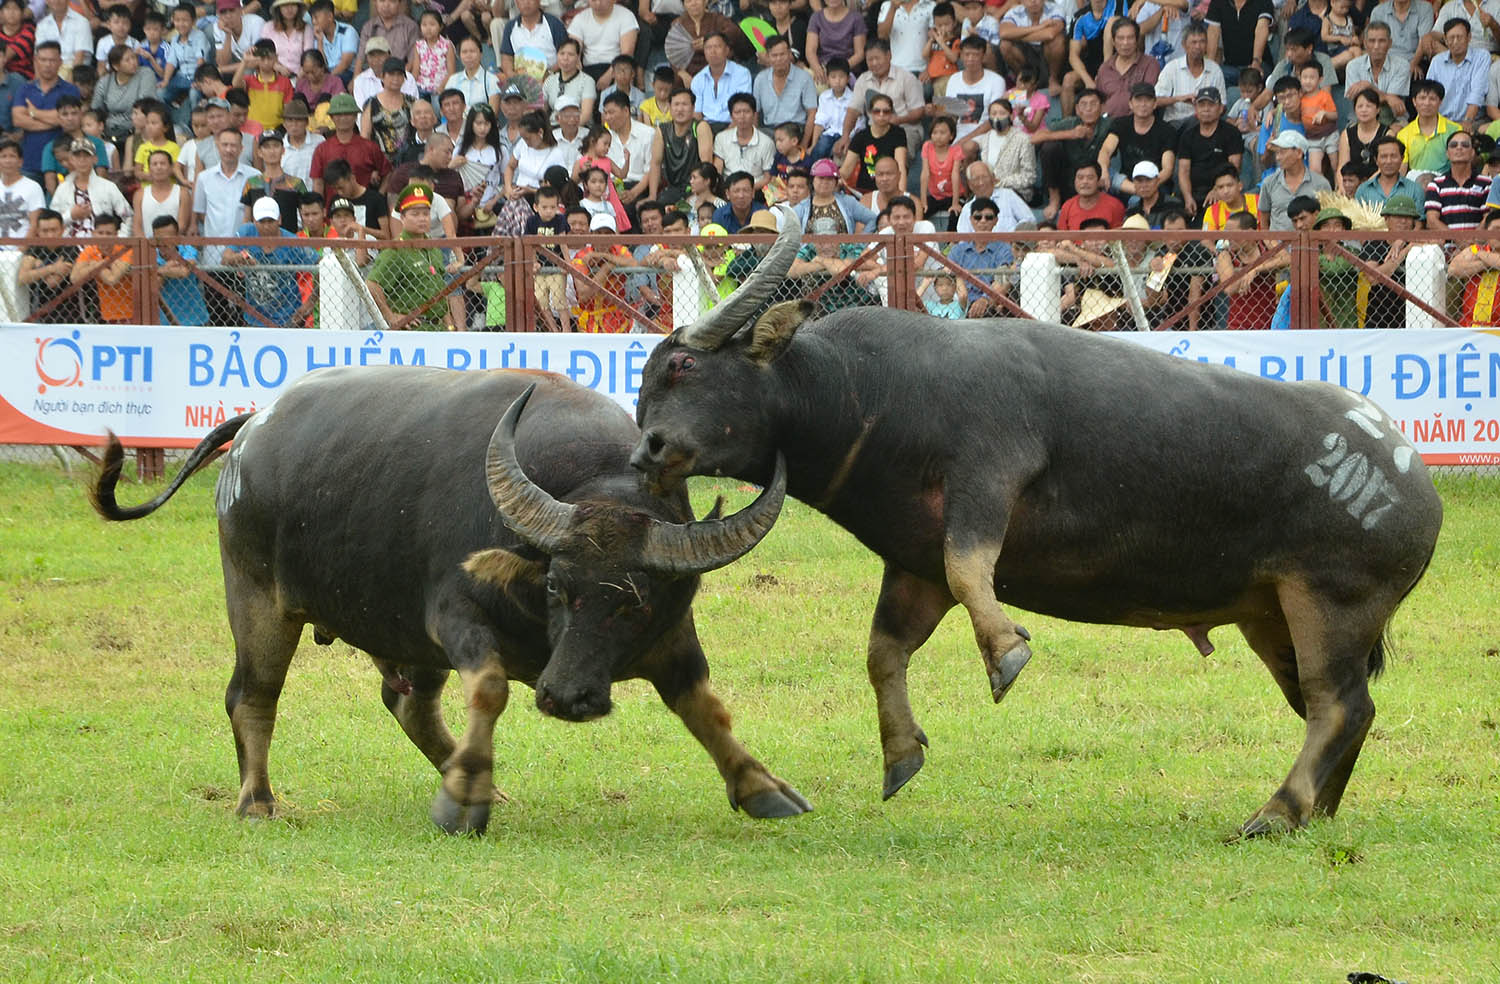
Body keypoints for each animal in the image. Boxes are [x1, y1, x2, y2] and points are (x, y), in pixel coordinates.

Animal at [92, 367, 810, 828]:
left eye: (636, 601)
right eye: (556, 585)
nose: (566, 697)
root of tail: (252, 428)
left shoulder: (671, 639)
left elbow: (705, 708)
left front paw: (763, 787)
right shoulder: (455, 617)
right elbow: (488, 689)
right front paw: (463, 802)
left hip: (401, 639)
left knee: (409, 706)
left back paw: (473, 775)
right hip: (258, 600)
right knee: (252, 698)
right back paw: (260, 801)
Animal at [630, 211, 1440, 834]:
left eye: (684, 369)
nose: (648, 451)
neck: (871, 394)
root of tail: (1410, 474)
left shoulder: (989, 479)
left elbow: (971, 570)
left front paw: (1007, 652)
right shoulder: (912, 564)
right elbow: (884, 651)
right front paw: (900, 754)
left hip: (1331, 602)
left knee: (1337, 706)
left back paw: (1276, 812)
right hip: (1272, 614)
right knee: (1342, 709)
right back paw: (1317, 811)